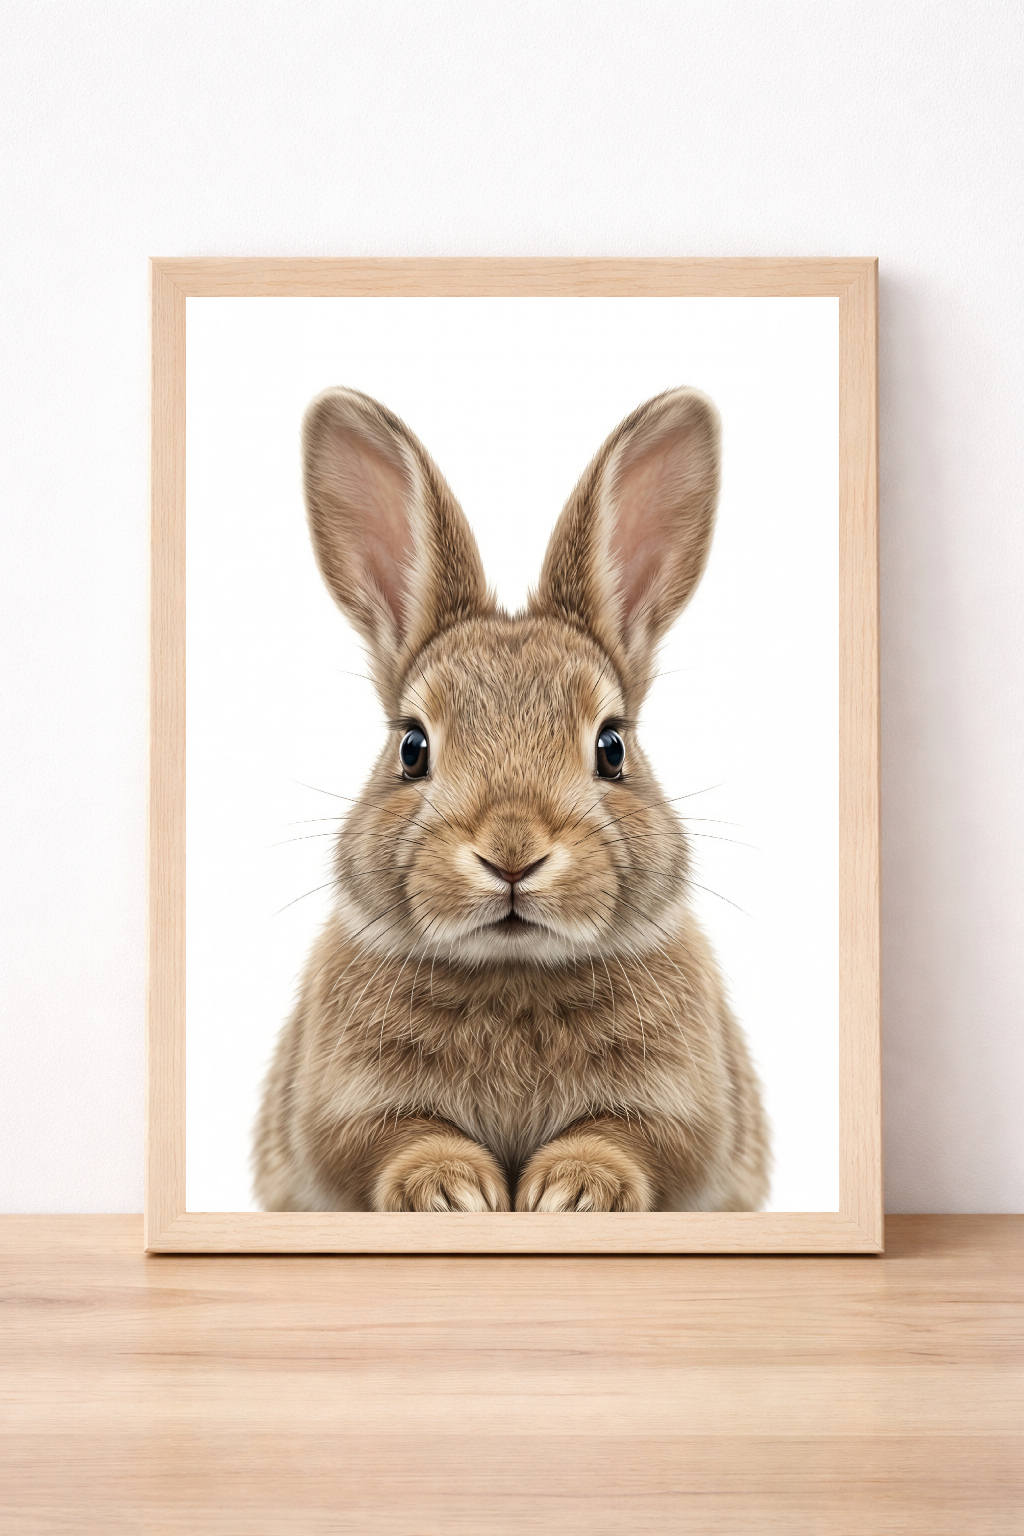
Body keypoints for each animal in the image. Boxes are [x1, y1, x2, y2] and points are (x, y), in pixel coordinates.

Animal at [253, 385, 770, 1213]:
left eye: (611, 748)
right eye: (413, 748)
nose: (512, 853)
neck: (512, 971)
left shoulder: (682, 1113)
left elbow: (629, 1139)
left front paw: (574, 1190)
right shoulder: (342, 1112)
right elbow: (394, 1140)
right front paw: (450, 1190)